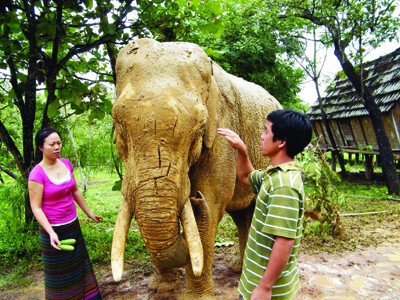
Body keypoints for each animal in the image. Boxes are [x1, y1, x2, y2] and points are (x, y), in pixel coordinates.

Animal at [111, 38, 282, 298]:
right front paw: (161, 288)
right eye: (118, 125)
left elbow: (213, 203)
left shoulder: (221, 129)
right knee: (242, 215)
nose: (195, 198)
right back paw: (237, 269)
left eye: (198, 131)